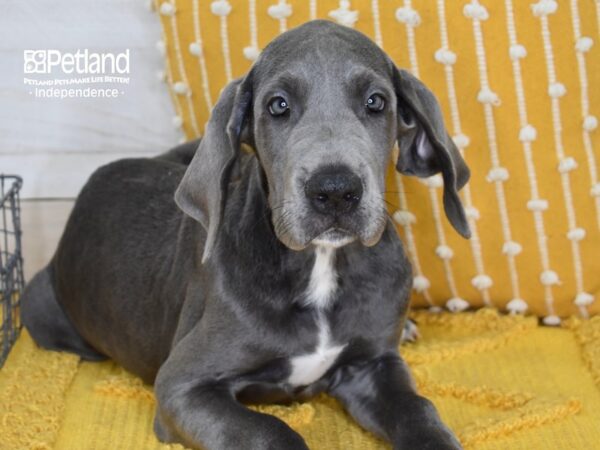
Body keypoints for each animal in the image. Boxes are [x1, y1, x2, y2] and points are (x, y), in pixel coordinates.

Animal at [22, 19, 468, 448]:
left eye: (376, 101)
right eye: (278, 105)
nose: (335, 191)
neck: (321, 266)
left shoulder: (373, 366)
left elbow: (420, 411)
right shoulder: (182, 386)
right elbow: (271, 432)